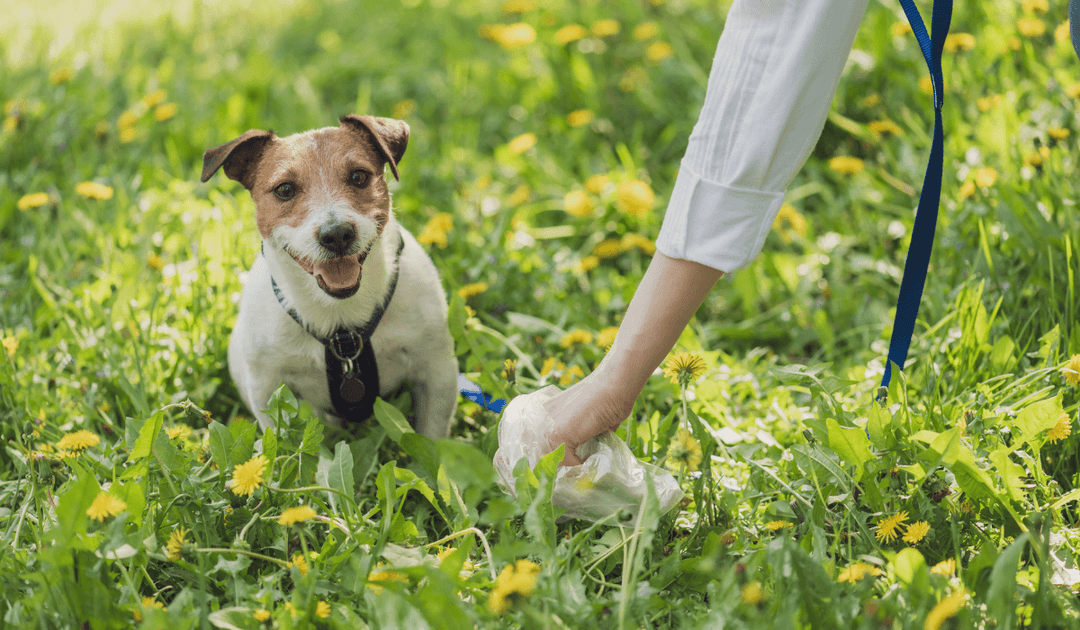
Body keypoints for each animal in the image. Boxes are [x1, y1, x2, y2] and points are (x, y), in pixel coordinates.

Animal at [201, 114, 455, 438]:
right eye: (285, 189)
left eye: (359, 176)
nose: (336, 235)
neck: (341, 321)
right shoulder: (267, 390)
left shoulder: (437, 372)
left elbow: (432, 438)